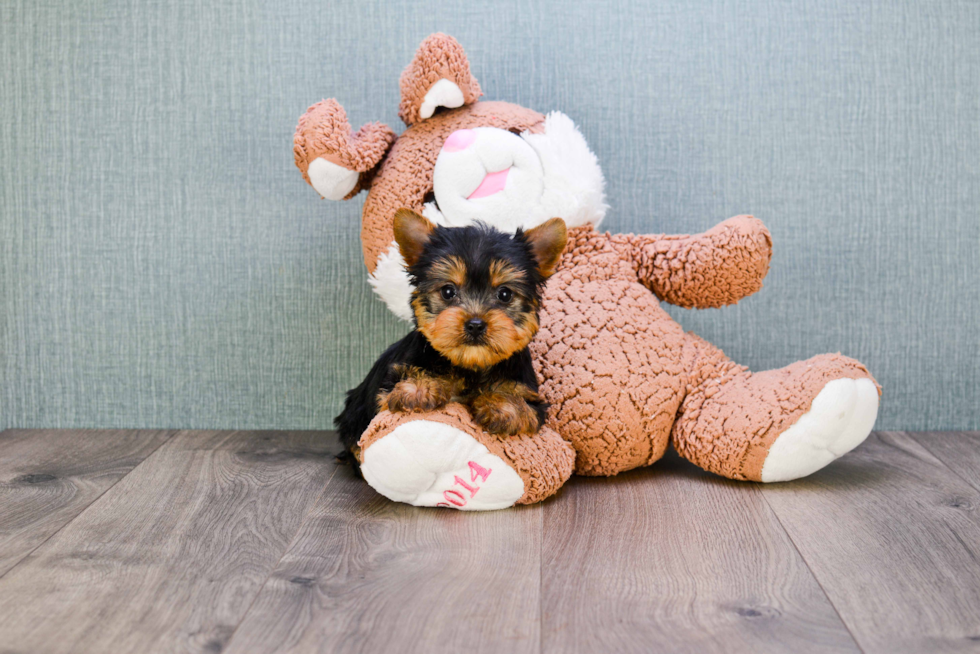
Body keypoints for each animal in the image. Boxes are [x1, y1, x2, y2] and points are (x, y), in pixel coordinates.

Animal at [334, 208, 568, 464]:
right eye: (448, 291)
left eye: (505, 294)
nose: (475, 324)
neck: (470, 365)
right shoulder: (388, 386)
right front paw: (419, 389)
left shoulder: (529, 394)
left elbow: (519, 402)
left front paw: (504, 406)